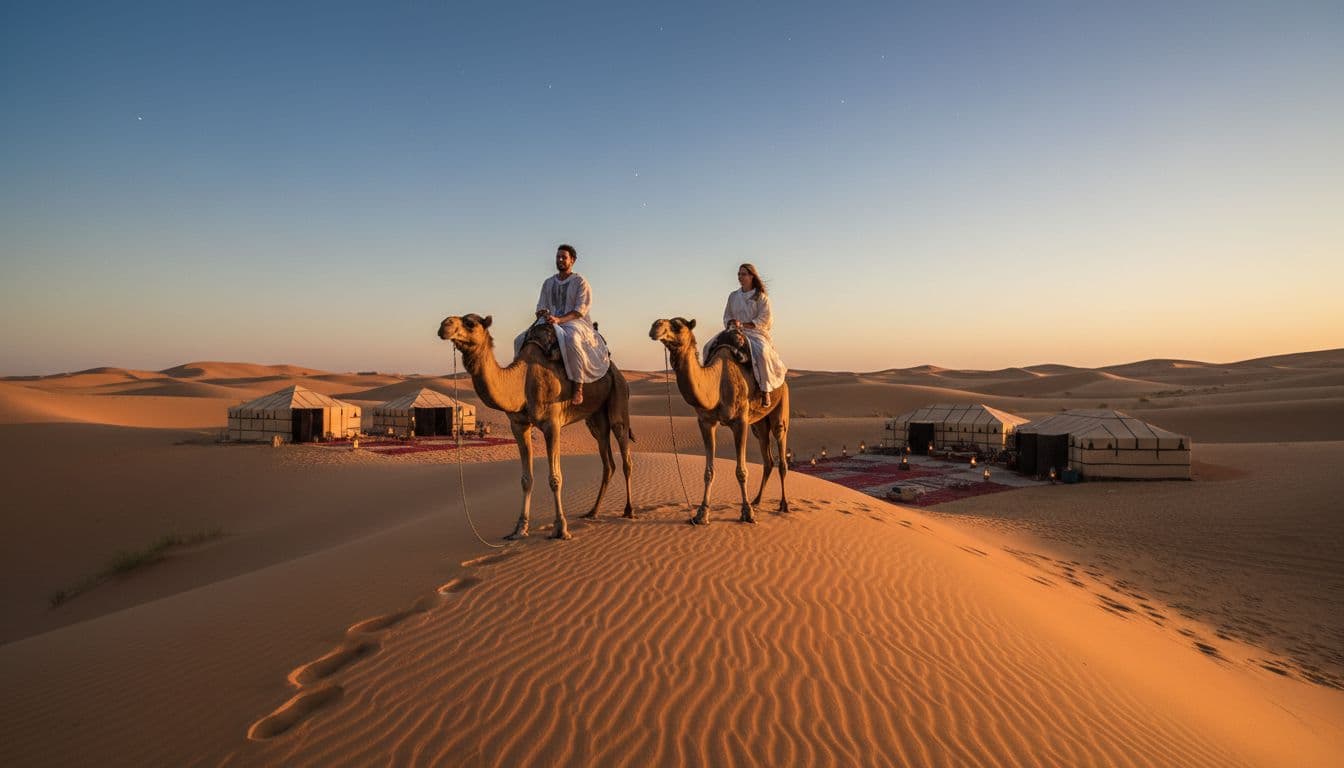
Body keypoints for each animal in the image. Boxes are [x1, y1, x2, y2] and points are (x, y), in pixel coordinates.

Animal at [437, 314, 634, 540]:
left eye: (470, 323)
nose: (444, 325)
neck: (522, 381)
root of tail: (615, 370)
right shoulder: (518, 425)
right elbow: (526, 479)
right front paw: (519, 528)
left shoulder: (552, 424)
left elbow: (555, 478)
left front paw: (561, 529)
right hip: (595, 418)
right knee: (607, 460)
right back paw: (592, 512)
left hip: (618, 396)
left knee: (624, 453)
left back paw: (629, 510)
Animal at [649, 317, 789, 525]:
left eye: (678, 325)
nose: (655, 326)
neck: (717, 384)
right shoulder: (706, 422)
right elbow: (709, 471)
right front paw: (701, 514)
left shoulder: (740, 422)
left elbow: (741, 471)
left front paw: (747, 513)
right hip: (759, 425)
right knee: (768, 460)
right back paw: (757, 501)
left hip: (781, 408)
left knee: (782, 455)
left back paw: (783, 505)